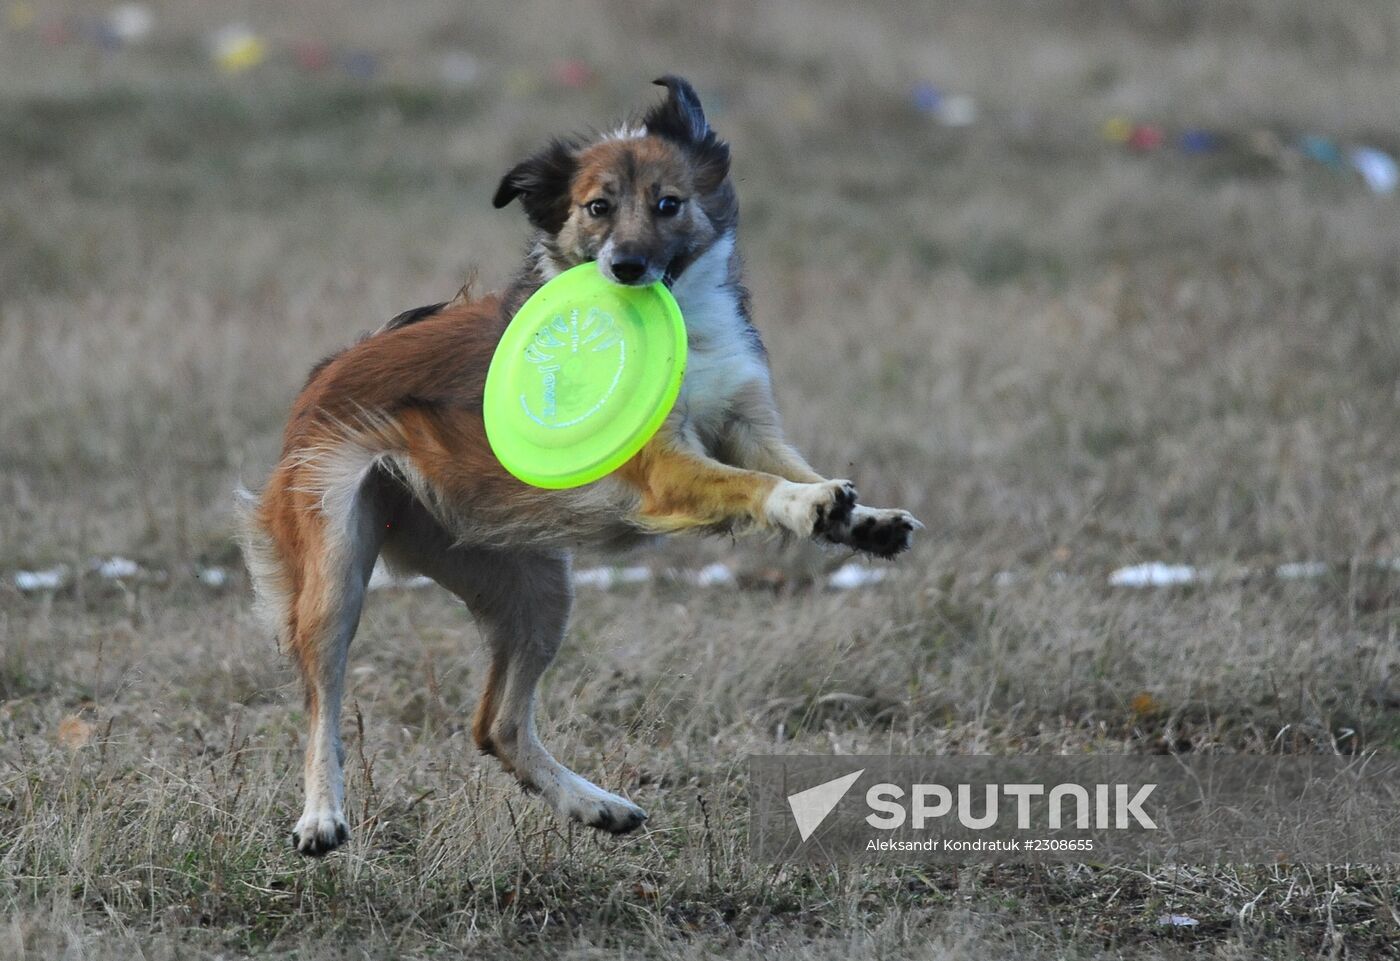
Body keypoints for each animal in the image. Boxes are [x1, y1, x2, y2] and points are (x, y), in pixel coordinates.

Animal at [240, 77, 918, 857]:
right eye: (598, 207)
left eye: (668, 203)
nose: (624, 266)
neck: (686, 327)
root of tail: (323, 375)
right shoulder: (667, 467)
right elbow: (756, 486)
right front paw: (804, 508)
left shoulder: (746, 421)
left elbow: (791, 466)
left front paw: (863, 520)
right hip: (335, 566)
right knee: (322, 698)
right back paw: (321, 815)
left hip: (537, 586)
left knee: (496, 725)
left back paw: (595, 805)